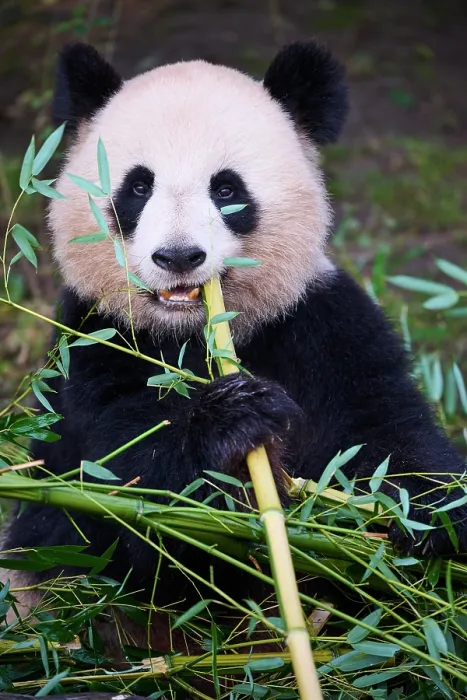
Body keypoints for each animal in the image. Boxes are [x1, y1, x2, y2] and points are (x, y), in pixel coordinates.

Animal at [2, 41, 466, 652]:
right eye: (138, 186)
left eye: (226, 189)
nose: (178, 257)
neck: (194, 332)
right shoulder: (95, 340)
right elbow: (117, 482)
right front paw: (234, 421)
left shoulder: (319, 322)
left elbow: (385, 434)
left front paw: (429, 519)